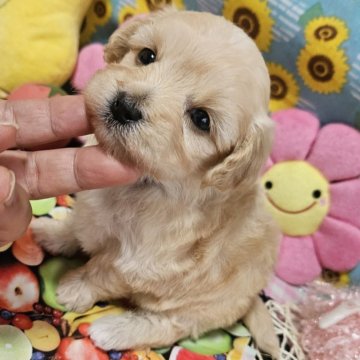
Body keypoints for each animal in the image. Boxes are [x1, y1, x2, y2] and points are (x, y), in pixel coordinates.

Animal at [32, 8, 280, 358]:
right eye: (147, 55)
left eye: (201, 119)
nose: (124, 106)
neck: (150, 180)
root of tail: (252, 297)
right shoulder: (91, 209)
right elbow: (78, 225)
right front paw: (53, 233)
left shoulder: (138, 264)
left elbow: (100, 272)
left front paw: (74, 288)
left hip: (197, 307)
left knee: (168, 326)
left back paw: (113, 331)